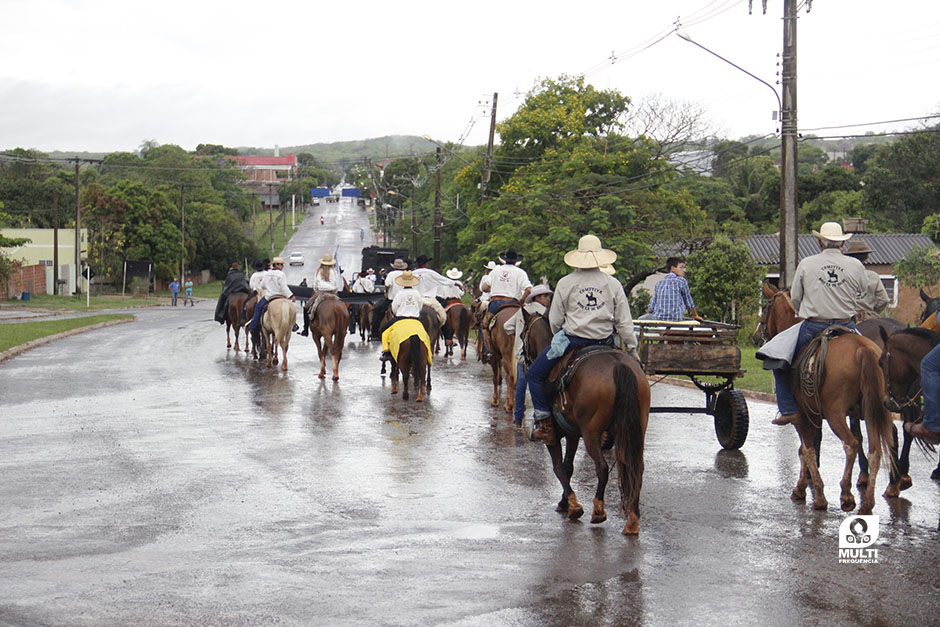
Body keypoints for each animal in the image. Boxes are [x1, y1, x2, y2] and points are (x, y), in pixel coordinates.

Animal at [516, 310, 648, 536]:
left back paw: (599, 511)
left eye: (522, 334)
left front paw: (573, 506)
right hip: (635, 430)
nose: (522, 358)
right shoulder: (572, 434)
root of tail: (618, 364)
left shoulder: (555, 436)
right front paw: (565, 502)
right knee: (635, 468)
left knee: (602, 468)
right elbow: (568, 466)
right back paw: (632, 520)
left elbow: (558, 467)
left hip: (591, 433)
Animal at [756, 284, 896, 516]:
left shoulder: (802, 417)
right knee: (875, 450)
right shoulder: (814, 416)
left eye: (766, 307)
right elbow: (807, 449)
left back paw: (846, 494)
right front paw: (803, 487)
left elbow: (806, 449)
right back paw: (867, 502)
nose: (756, 336)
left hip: (835, 414)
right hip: (872, 412)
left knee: (851, 444)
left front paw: (814, 493)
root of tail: (863, 348)